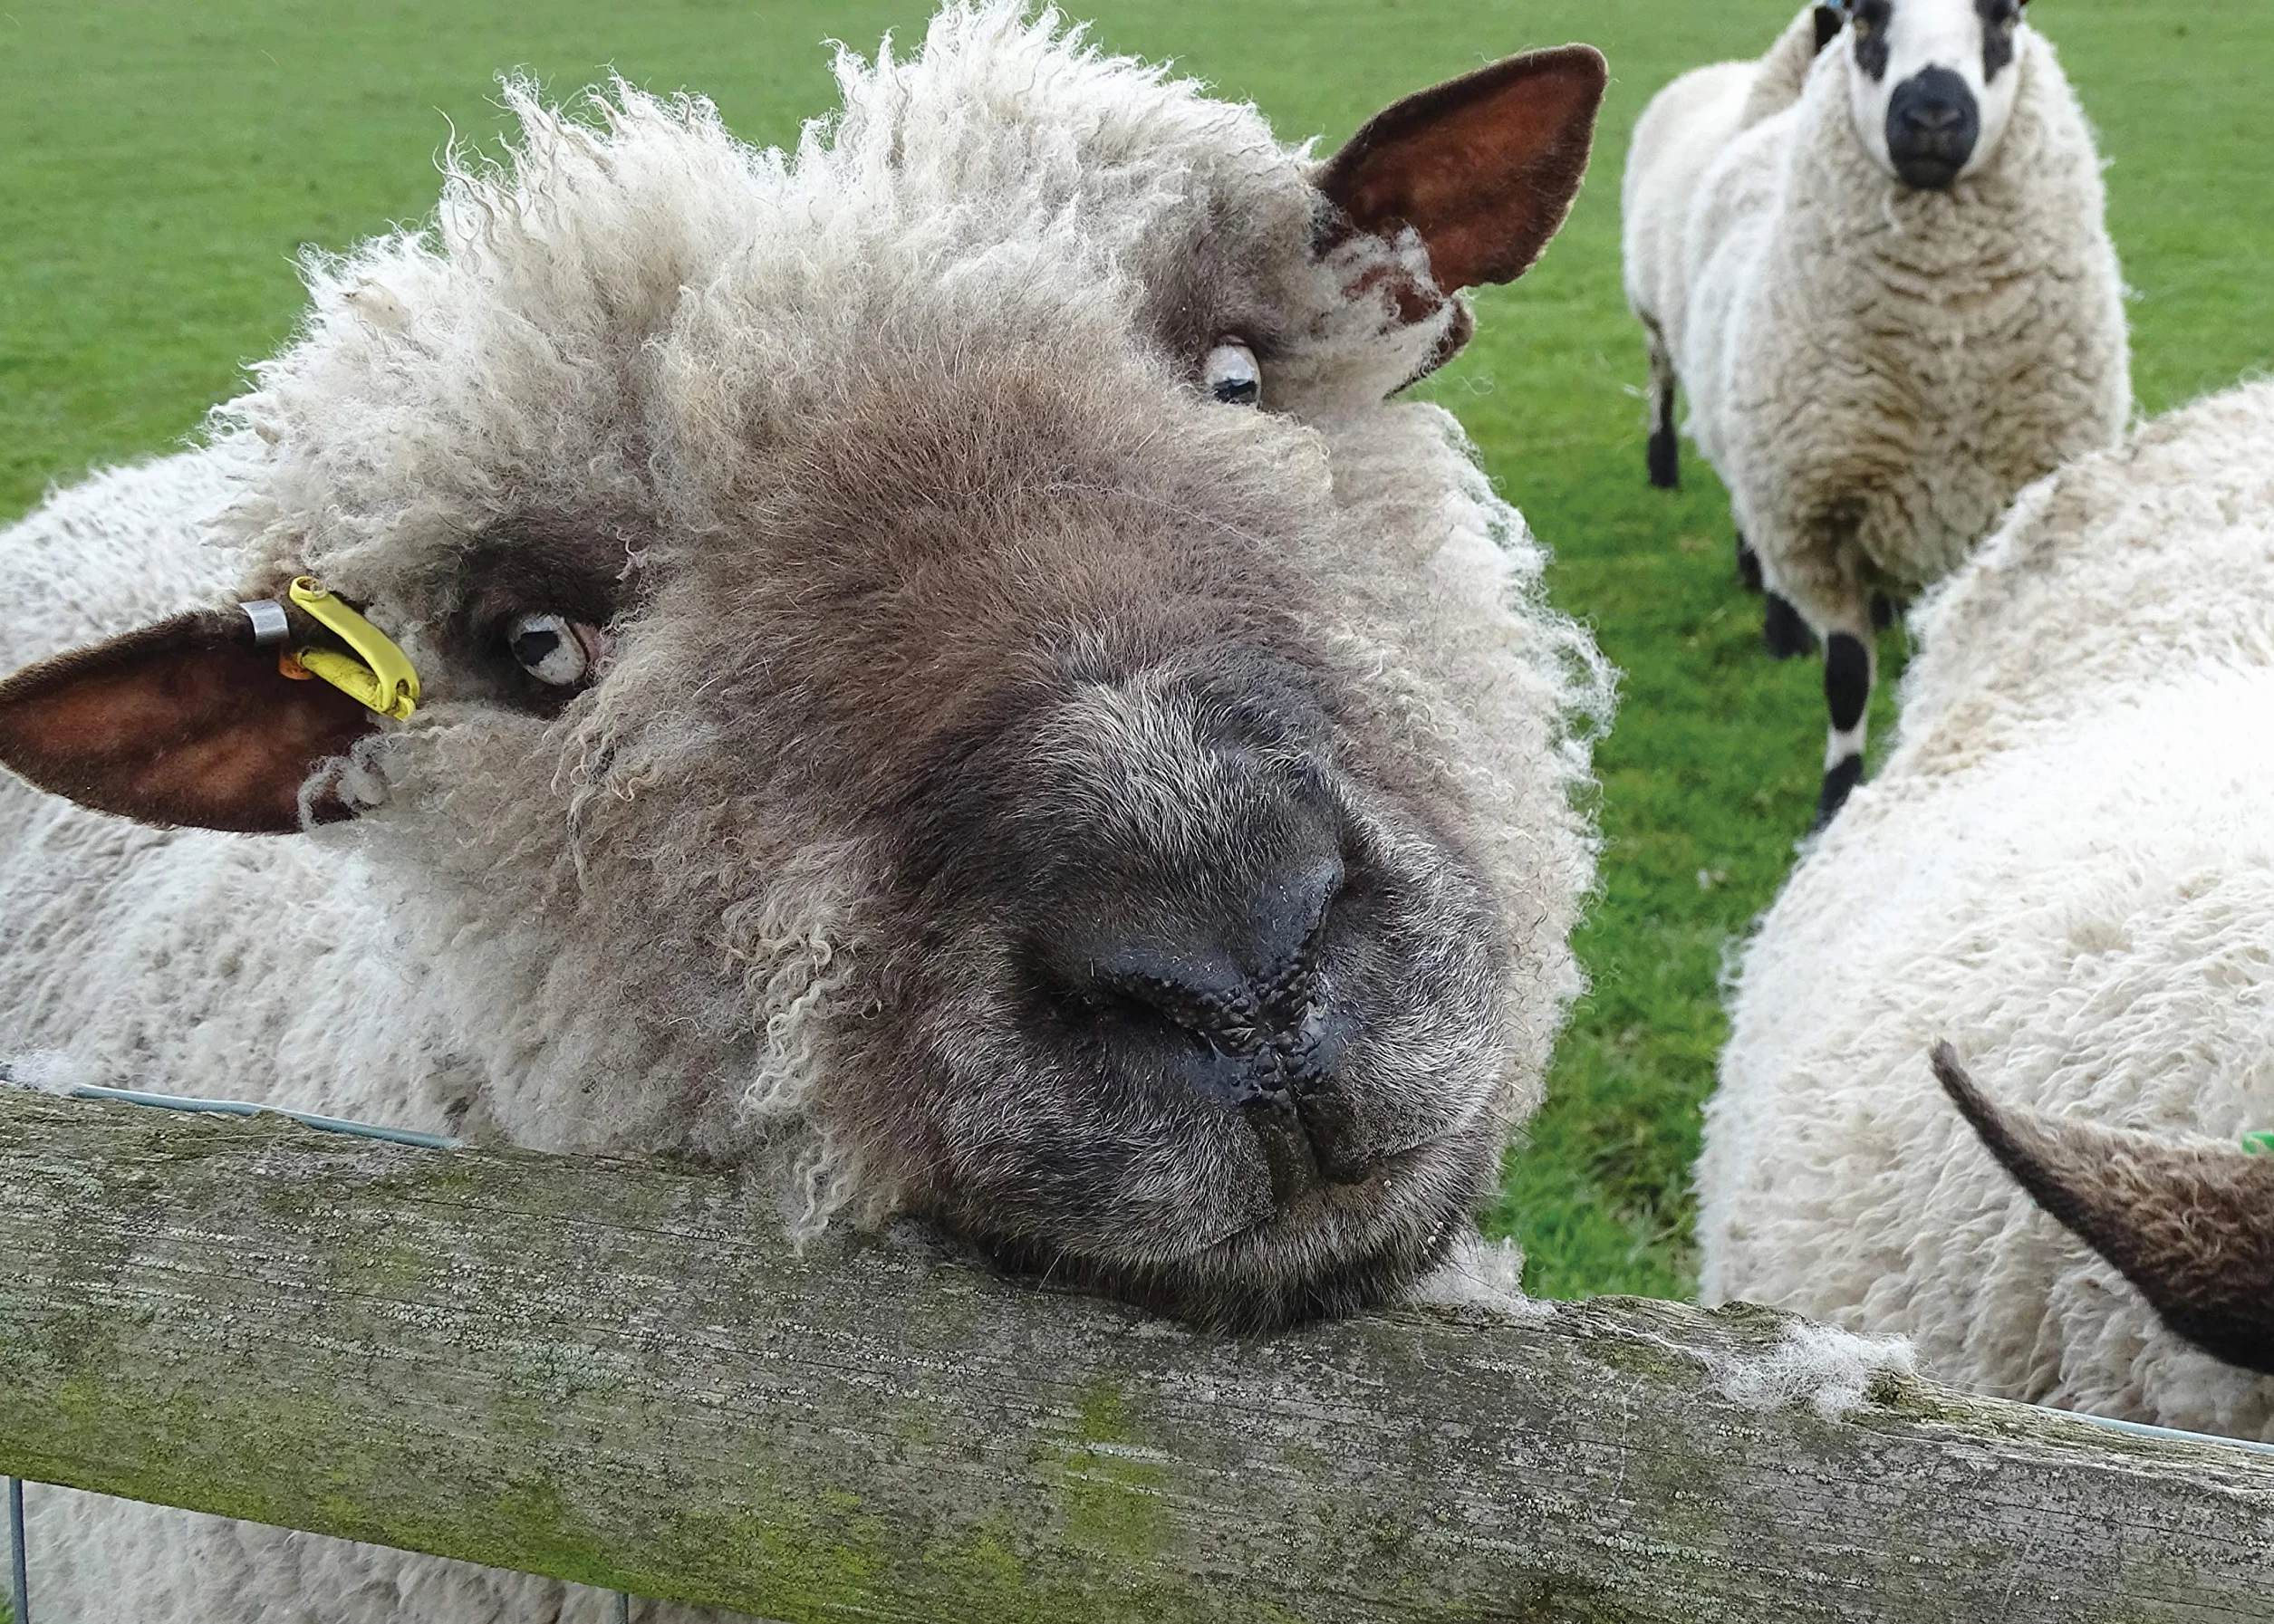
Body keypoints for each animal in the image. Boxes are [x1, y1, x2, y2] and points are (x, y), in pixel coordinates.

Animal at [1622, 0, 2130, 826]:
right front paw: (1837, 797)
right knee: (1676, 404)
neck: (1943, 351)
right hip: (1723, 398)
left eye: (2006, 15)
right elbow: (1846, 676)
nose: (1931, 117)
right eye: (1866, 17)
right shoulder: (1816, 517)